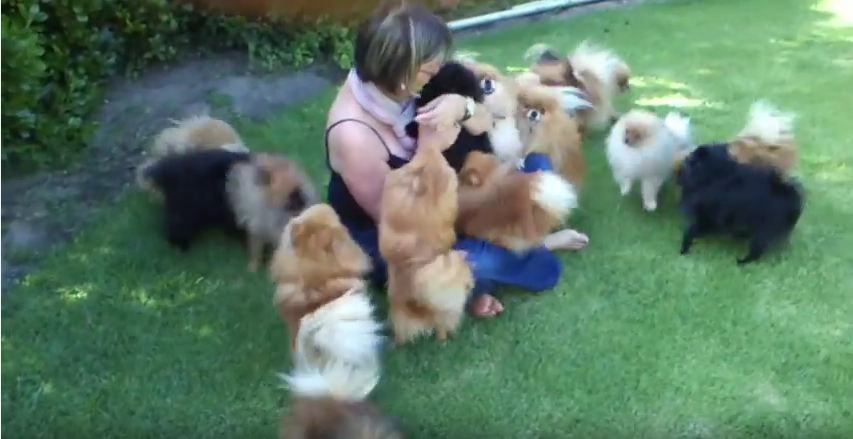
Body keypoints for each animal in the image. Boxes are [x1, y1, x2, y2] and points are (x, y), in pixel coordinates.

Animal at [141, 148, 318, 272]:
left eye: (299, 195)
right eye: (292, 197)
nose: (306, 203)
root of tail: (168, 170)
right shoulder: (256, 226)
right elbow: (256, 248)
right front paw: (255, 267)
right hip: (185, 213)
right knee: (175, 228)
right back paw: (180, 248)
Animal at [676, 146, 804, 266]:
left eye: (694, 157)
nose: (687, 157)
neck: (715, 176)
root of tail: (790, 194)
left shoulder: (707, 216)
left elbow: (691, 231)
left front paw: (684, 249)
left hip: (764, 229)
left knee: (757, 249)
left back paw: (743, 262)